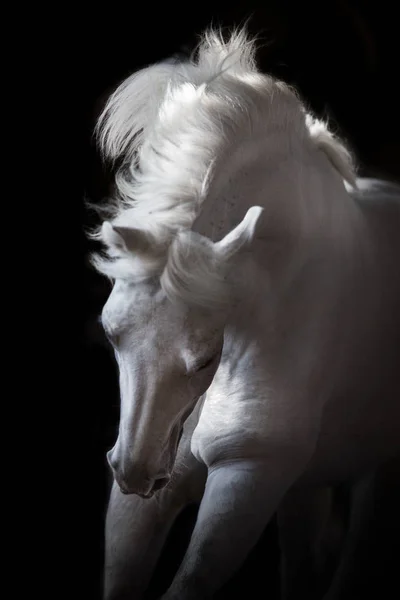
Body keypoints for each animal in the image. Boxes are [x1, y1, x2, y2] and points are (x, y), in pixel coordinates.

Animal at [90, 28, 400, 600]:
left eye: (204, 359)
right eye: (111, 333)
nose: (135, 473)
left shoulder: (248, 474)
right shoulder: (146, 500)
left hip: (377, 472)